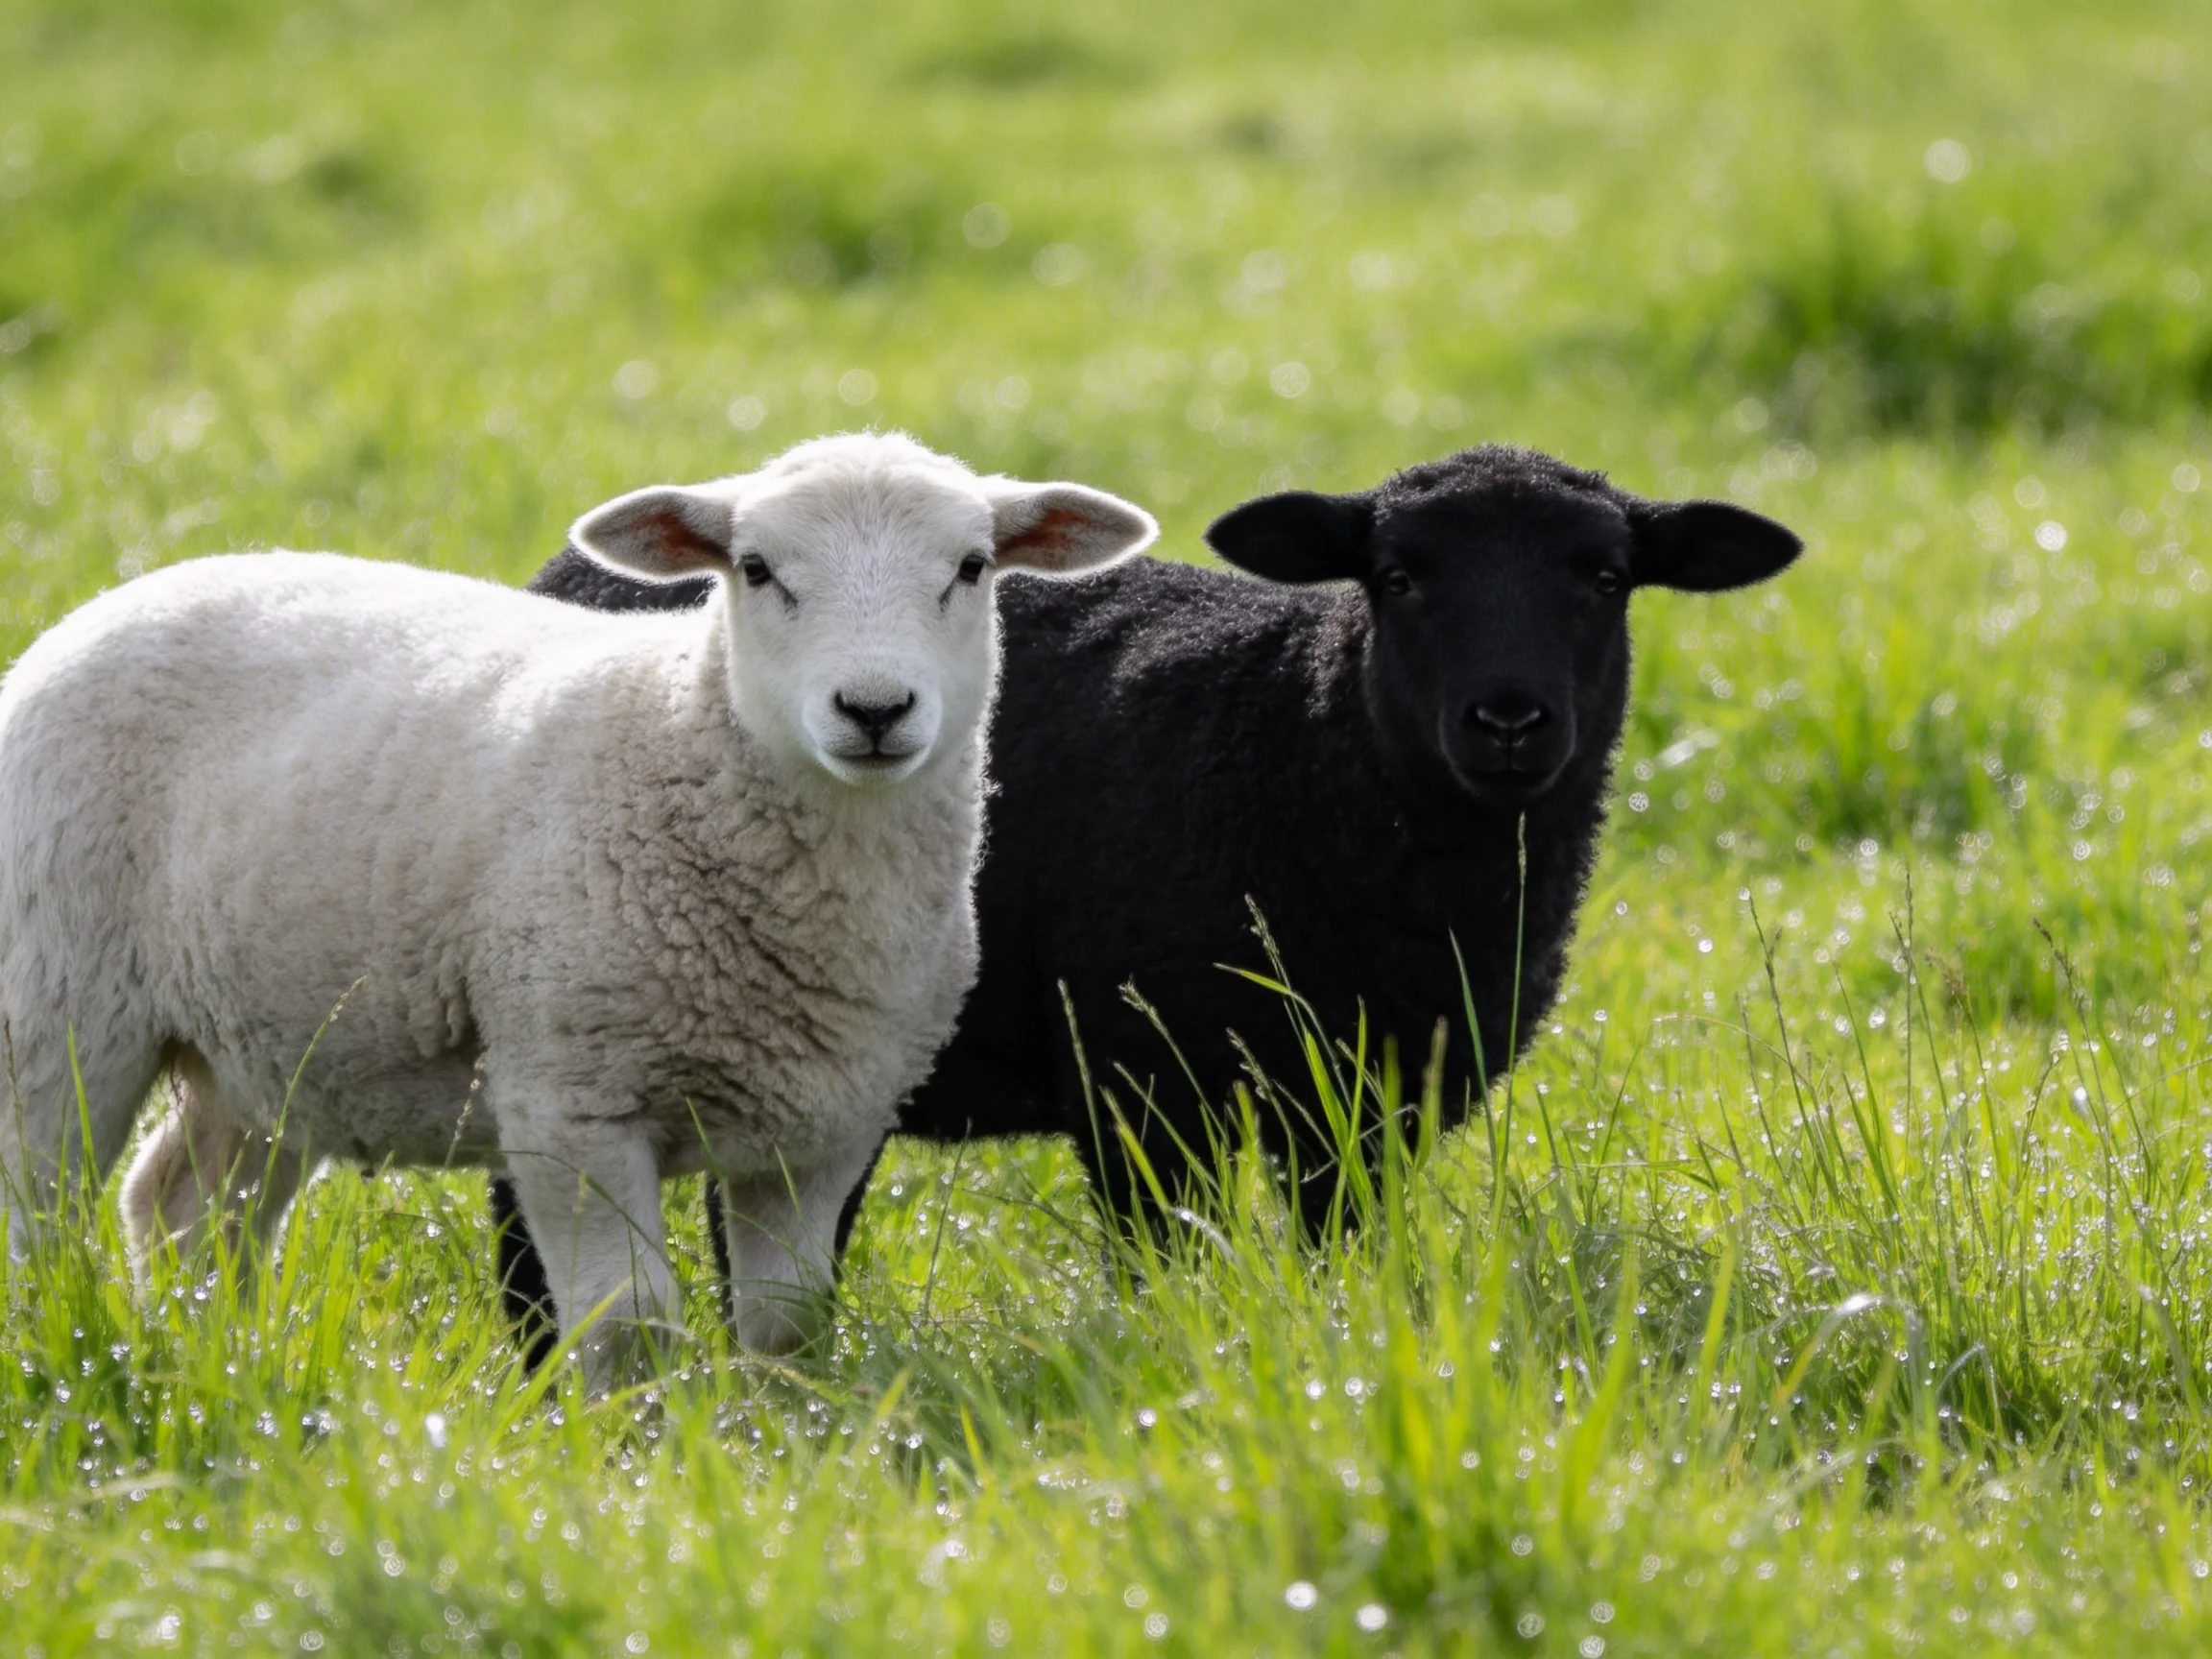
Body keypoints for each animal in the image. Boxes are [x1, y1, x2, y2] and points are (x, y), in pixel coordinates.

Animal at [0, 431, 1156, 1382]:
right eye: (756, 569)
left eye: (971, 568)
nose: (874, 710)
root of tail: (130, 591)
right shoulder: (569, 1099)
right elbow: (628, 1325)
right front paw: (634, 1467)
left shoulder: (824, 1125)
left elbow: (787, 1322)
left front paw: (779, 1443)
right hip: (54, 1003)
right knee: (35, 1208)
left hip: (267, 1043)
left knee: (186, 1209)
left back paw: (215, 1364)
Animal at [505, 444, 1800, 1322]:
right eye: (1396, 577)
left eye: (1606, 576)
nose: (1510, 719)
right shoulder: (1136, 1084)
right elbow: (1161, 1262)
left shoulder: (1377, 1097)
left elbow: (1343, 1248)